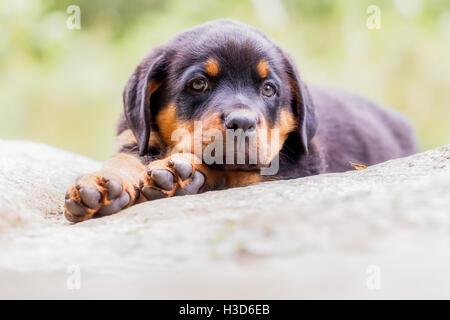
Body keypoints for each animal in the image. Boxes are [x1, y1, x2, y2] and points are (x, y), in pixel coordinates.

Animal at [63, 18, 414, 221]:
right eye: (199, 84)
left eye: (269, 89)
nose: (243, 122)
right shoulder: (134, 138)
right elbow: (124, 158)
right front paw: (102, 183)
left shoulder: (296, 167)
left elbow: (232, 172)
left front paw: (180, 174)